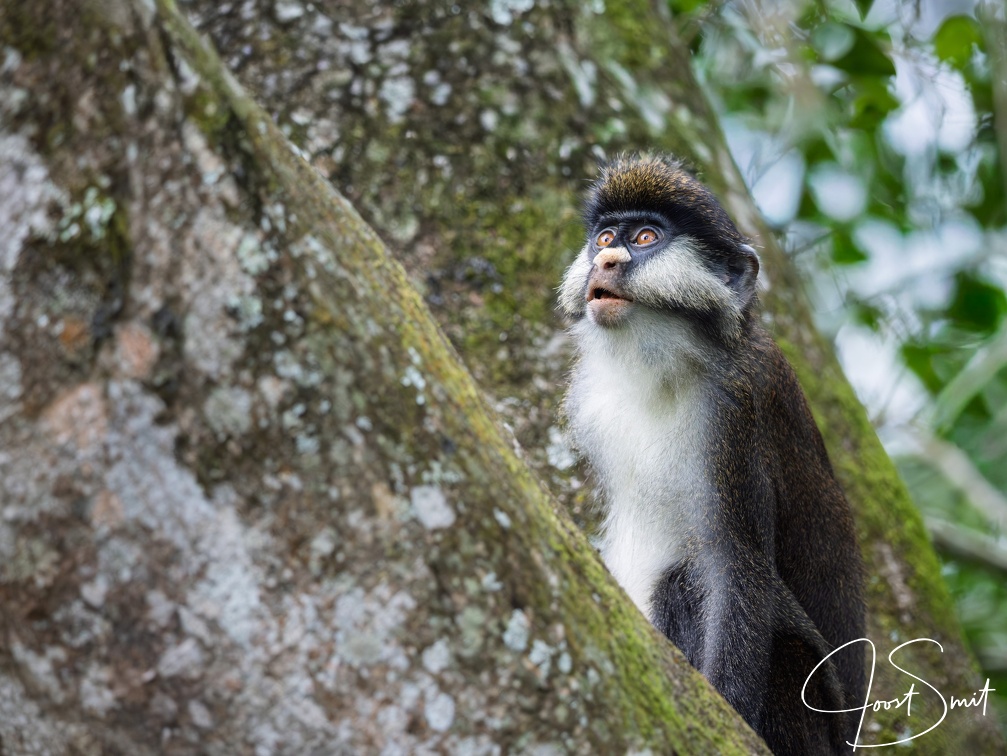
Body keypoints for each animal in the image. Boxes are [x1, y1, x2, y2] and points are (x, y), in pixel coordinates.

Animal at [559, 154, 865, 755]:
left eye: (646, 238)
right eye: (605, 237)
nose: (605, 259)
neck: (665, 364)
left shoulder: (737, 408)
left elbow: (734, 567)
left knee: (685, 581)